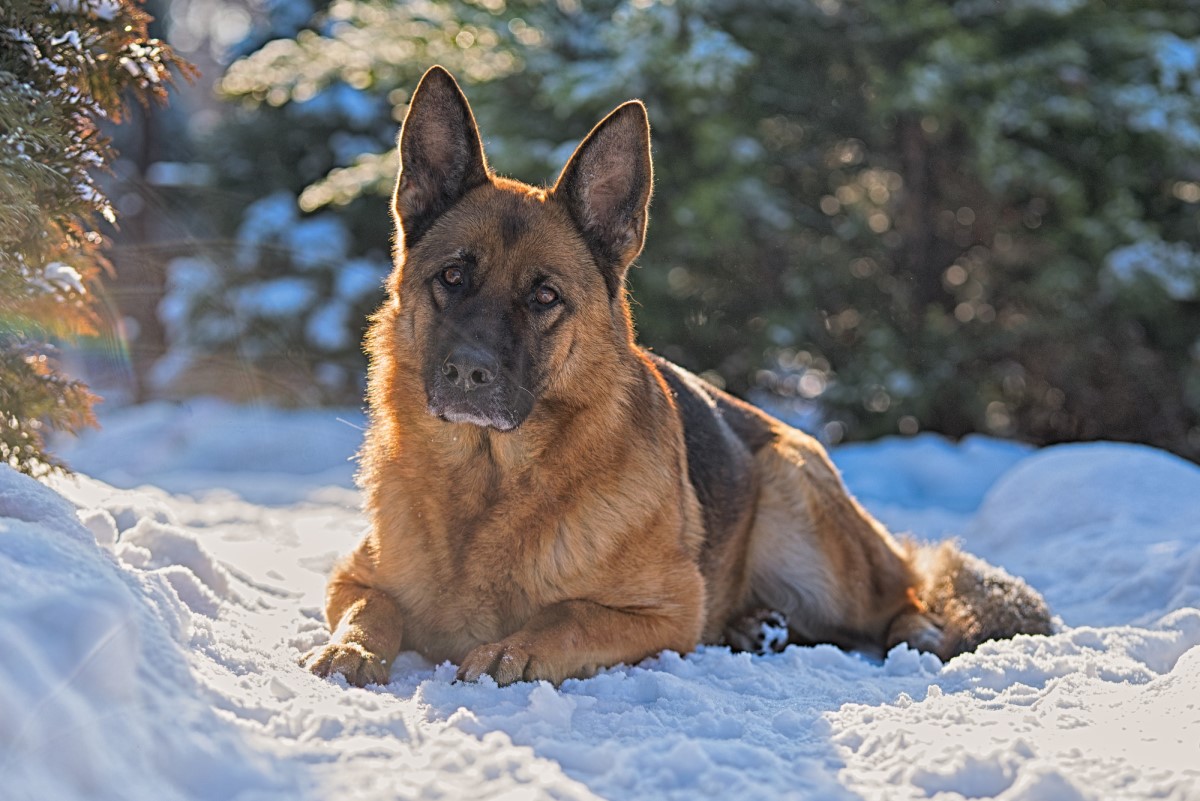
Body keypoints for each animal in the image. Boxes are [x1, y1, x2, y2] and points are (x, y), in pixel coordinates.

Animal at [302, 65, 1051, 685]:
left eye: (544, 296)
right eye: (453, 277)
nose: (466, 372)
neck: (486, 486)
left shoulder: (667, 612)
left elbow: (566, 616)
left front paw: (511, 649)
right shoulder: (352, 577)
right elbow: (373, 610)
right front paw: (352, 648)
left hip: (799, 505)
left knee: (906, 592)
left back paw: (897, 627)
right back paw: (759, 626)